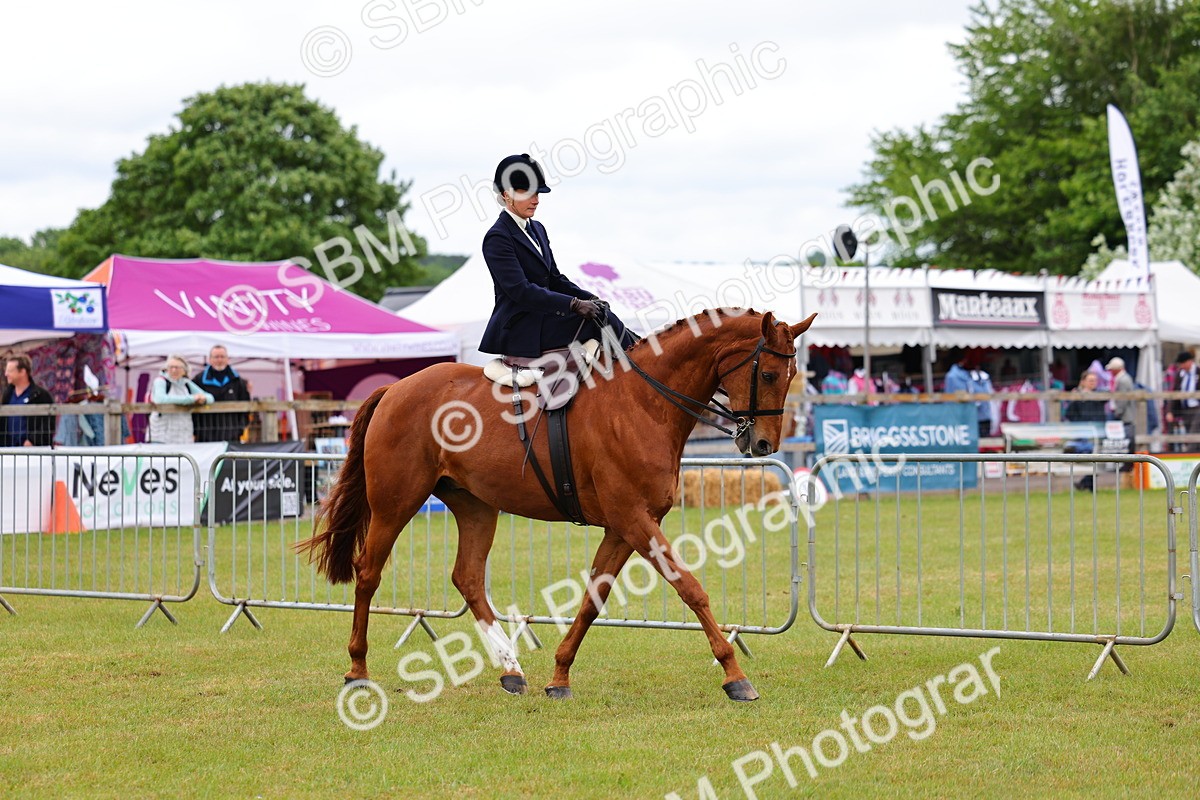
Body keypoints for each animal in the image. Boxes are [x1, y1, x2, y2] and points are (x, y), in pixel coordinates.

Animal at [297, 308, 816, 702]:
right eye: (769, 373)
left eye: (792, 374)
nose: (765, 444)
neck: (642, 402)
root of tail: (397, 388)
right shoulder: (635, 519)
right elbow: (690, 588)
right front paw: (735, 676)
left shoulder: (624, 526)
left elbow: (592, 600)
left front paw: (559, 676)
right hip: (395, 502)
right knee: (368, 573)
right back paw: (358, 670)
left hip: (475, 506)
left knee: (468, 578)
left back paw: (510, 669)